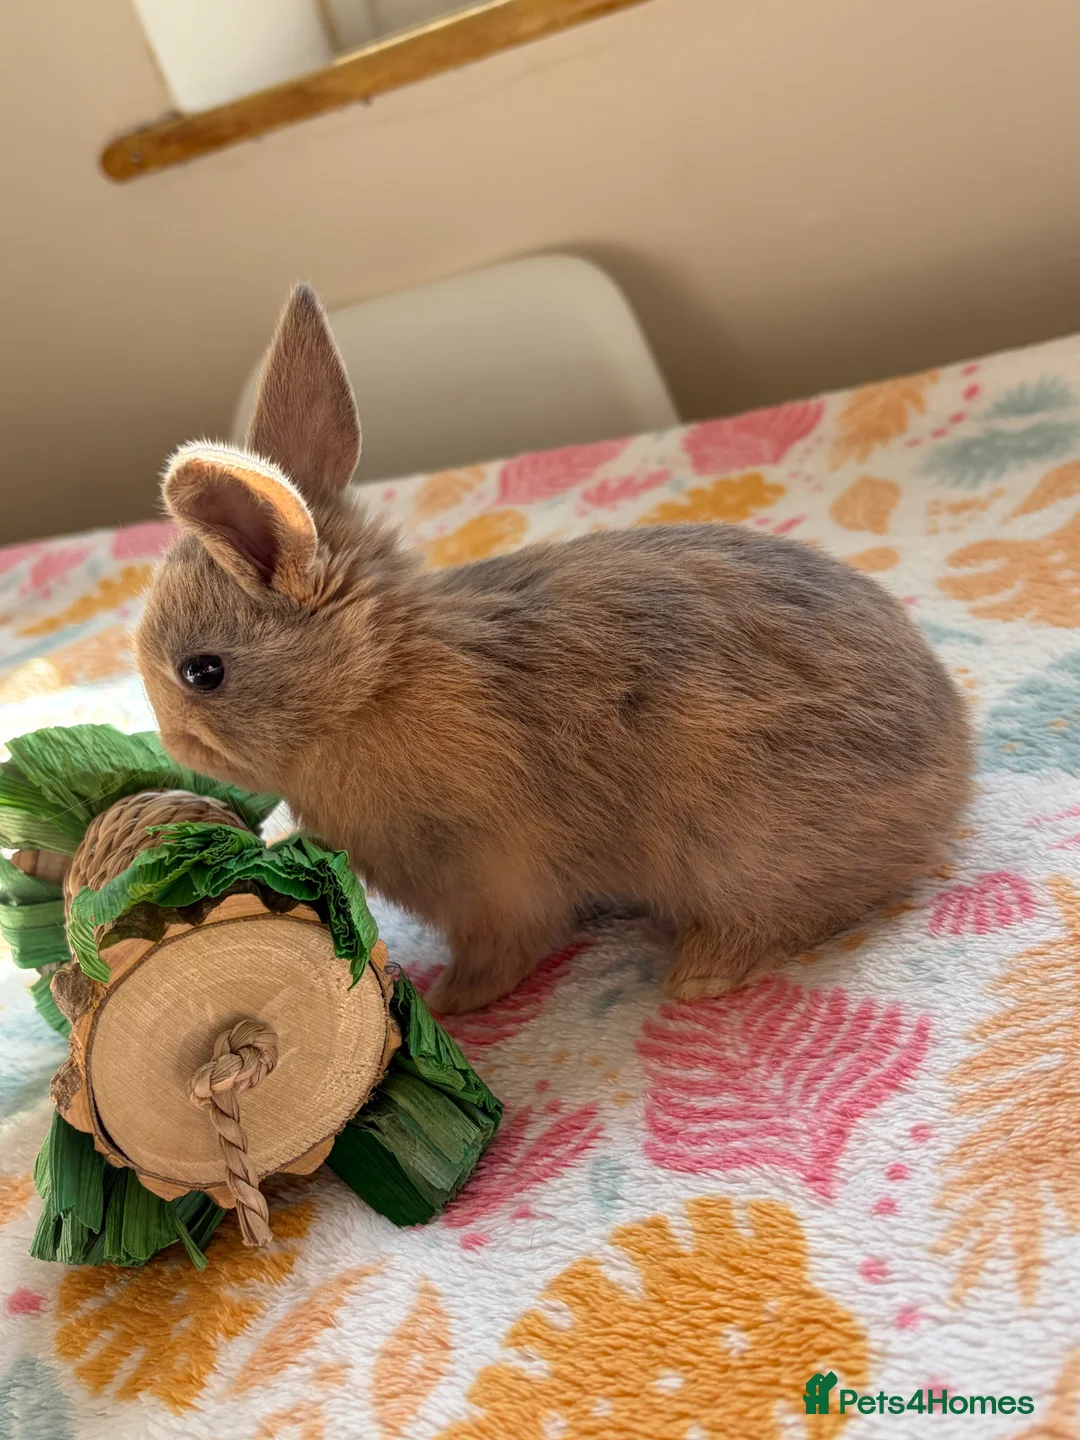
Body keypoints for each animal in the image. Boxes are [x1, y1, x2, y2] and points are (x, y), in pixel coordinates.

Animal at [135, 283, 973, 1014]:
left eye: (202, 672)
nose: (175, 744)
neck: (370, 685)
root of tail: (952, 778)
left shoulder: (492, 882)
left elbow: (506, 943)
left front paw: (458, 1000)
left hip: (742, 849)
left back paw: (699, 974)